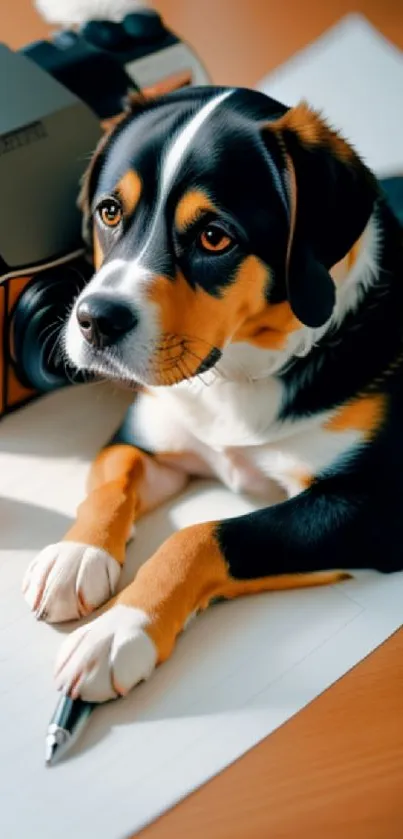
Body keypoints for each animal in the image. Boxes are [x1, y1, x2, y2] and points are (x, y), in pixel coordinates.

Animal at [22, 85, 403, 704]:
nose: (94, 320)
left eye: (214, 237)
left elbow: (202, 536)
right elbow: (111, 482)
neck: (236, 377)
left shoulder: (370, 508)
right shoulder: (144, 438)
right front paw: (76, 555)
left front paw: (119, 630)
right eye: (110, 212)